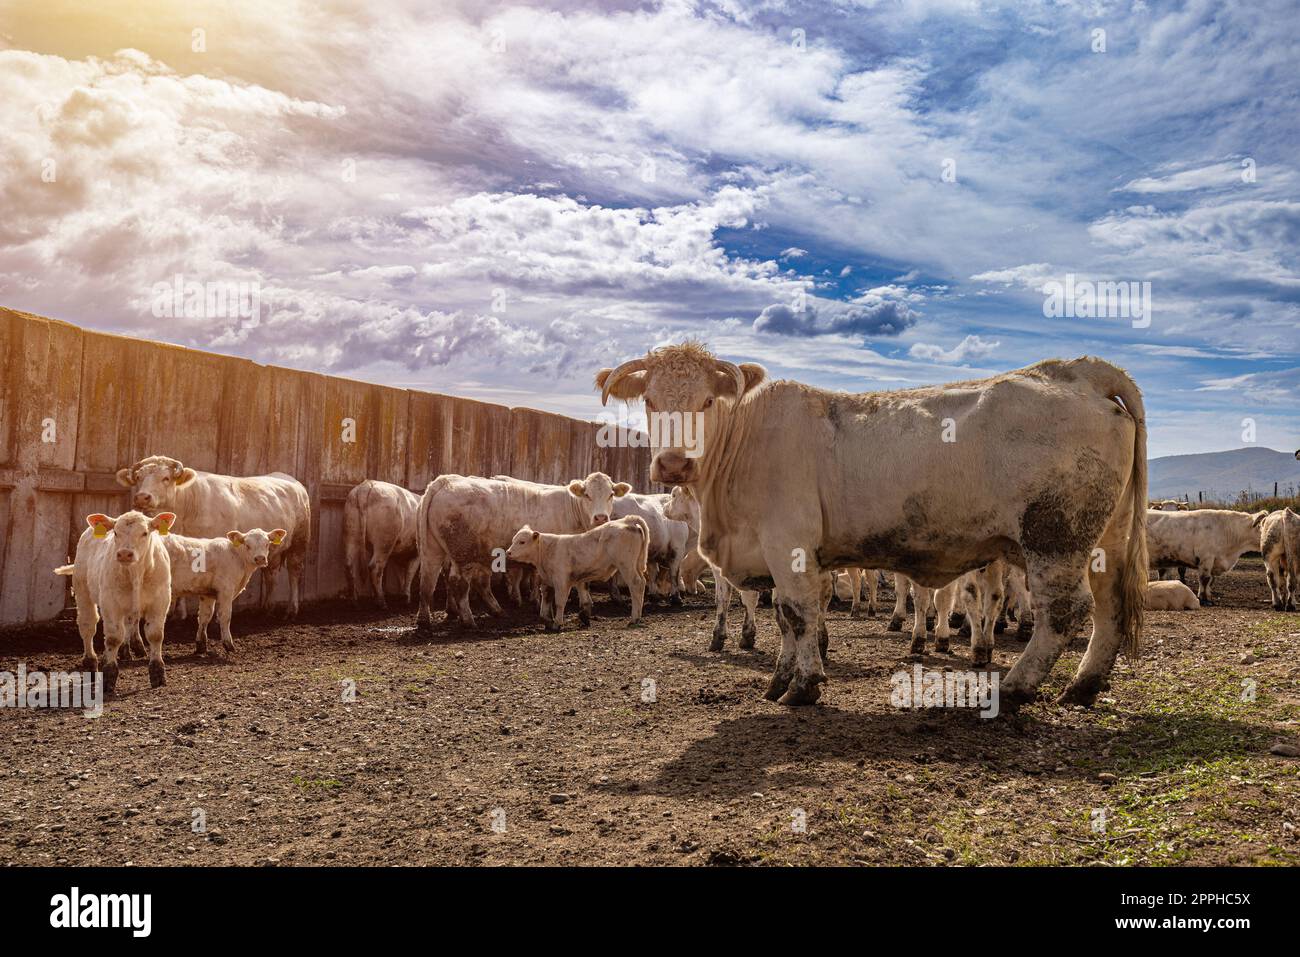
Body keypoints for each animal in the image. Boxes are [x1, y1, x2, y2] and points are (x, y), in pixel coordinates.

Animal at [53, 512, 174, 691]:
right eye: (116, 532)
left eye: (145, 533)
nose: (124, 553)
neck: (136, 574)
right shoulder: (111, 604)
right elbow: (113, 638)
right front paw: (109, 675)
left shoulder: (160, 601)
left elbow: (155, 635)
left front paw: (158, 673)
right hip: (82, 591)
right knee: (88, 625)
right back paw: (91, 662)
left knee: (128, 624)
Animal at [118, 457, 313, 621]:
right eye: (138, 477)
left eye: (165, 478)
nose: (142, 497)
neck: (187, 505)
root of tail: (293, 481)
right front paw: (178, 613)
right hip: (270, 551)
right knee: (270, 574)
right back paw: (267, 608)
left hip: (299, 542)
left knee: (294, 571)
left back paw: (291, 610)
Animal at [343, 475, 418, 605]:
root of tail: (366, 485)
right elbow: (409, 573)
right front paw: (406, 597)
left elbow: (400, 575)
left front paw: (403, 595)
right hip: (384, 542)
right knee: (375, 567)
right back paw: (381, 601)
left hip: (351, 533)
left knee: (349, 564)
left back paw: (354, 600)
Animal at [598, 343, 1149, 712]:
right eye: (650, 401)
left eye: (707, 402)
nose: (673, 464)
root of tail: (1076, 371)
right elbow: (785, 616)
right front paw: (779, 679)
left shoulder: (788, 544)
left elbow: (798, 614)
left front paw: (803, 687)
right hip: (1104, 541)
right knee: (1109, 609)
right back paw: (1082, 687)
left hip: (1055, 536)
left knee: (1064, 611)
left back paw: (1015, 688)